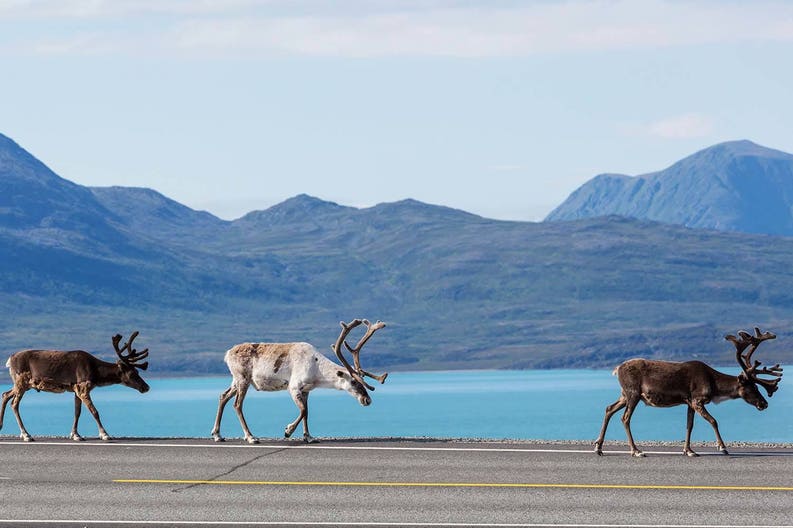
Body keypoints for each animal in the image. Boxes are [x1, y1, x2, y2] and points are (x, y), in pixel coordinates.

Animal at [1, 331, 150, 442]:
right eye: (132, 373)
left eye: (138, 371)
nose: (146, 387)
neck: (96, 373)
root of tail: (10, 359)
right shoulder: (83, 388)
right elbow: (95, 411)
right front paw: (105, 434)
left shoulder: (76, 390)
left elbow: (77, 412)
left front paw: (75, 435)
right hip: (21, 382)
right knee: (14, 403)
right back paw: (26, 435)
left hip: (21, 385)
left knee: (5, 395)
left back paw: (3, 426)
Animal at [211, 318, 388, 444]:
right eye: (353, 382)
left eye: (362, 381)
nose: (367, 400)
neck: (317, 370)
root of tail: (228, 353)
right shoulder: (294, 386)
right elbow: (302, 410)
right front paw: (288, 431)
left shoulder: (306, 390)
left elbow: (307, 412)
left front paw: (308, 437)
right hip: (243, 379)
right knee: (237, 404)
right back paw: (251, 437)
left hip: (236, 380)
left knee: (223, 396)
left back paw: (217, 434)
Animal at [594, 327, 783, 457]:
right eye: (753, 387)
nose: (764, 403)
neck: (714, 386)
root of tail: (617, 368)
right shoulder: (697, 400)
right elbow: (713, 421)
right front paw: (722, 447)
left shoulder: (689, 402)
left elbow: (689, 425)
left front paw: (689, 450)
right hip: (633, 394)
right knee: (625, 417)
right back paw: (636, 450)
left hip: (625, 395)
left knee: (609, 408)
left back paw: (599, 447)